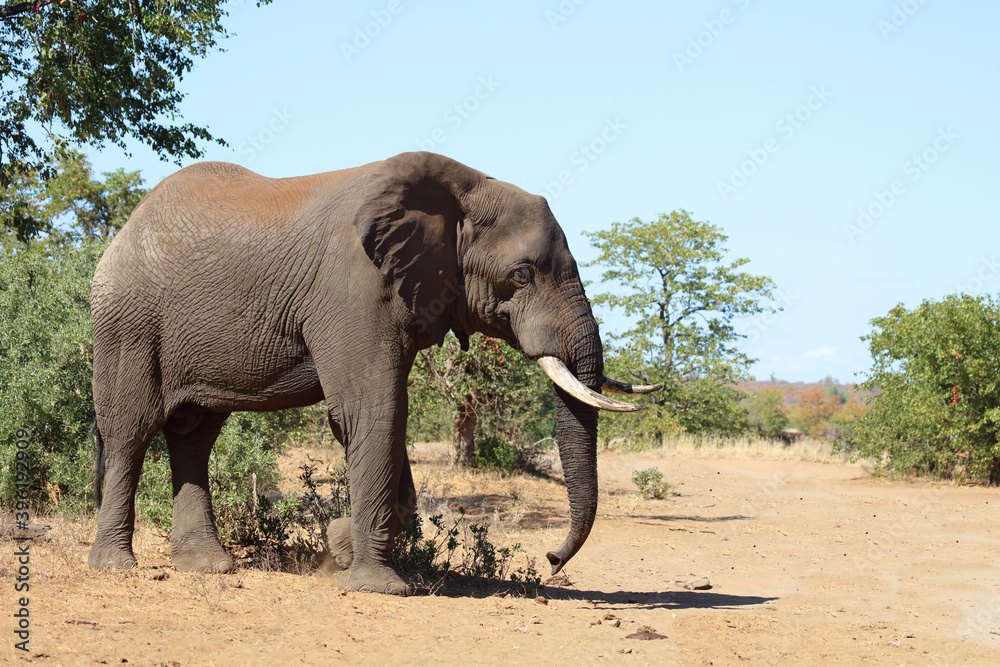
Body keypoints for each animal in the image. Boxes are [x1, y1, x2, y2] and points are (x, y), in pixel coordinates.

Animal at [90, 151, 660, 596]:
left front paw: (338, 547)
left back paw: (207, 567)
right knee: (131, 432)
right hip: (128, 320)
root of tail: (124, 229)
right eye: (522, 274)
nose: (551, 561)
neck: (465, 185)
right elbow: (373, 409)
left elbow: (380, 416)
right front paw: (375, 584)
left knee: (194, 434)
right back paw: (116, 566)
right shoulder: (353, 286)